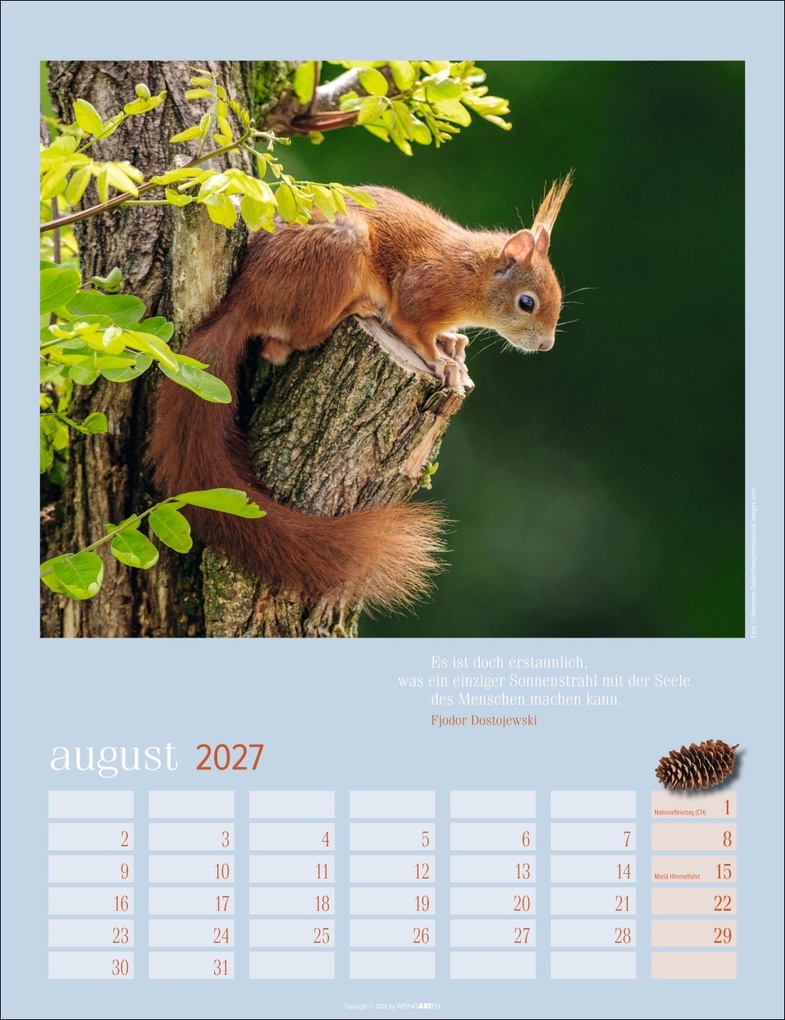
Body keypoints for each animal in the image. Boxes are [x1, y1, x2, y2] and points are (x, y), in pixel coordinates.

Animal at [149, 176, 571, 610]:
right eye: (526, 302)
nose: (546, 346)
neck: (473, 273)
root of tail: (242, 300)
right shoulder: (421, 291)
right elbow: (414, 330)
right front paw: (444, 363)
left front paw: (453, 343)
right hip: (338, 253)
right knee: (289, 342)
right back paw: (357, 308)